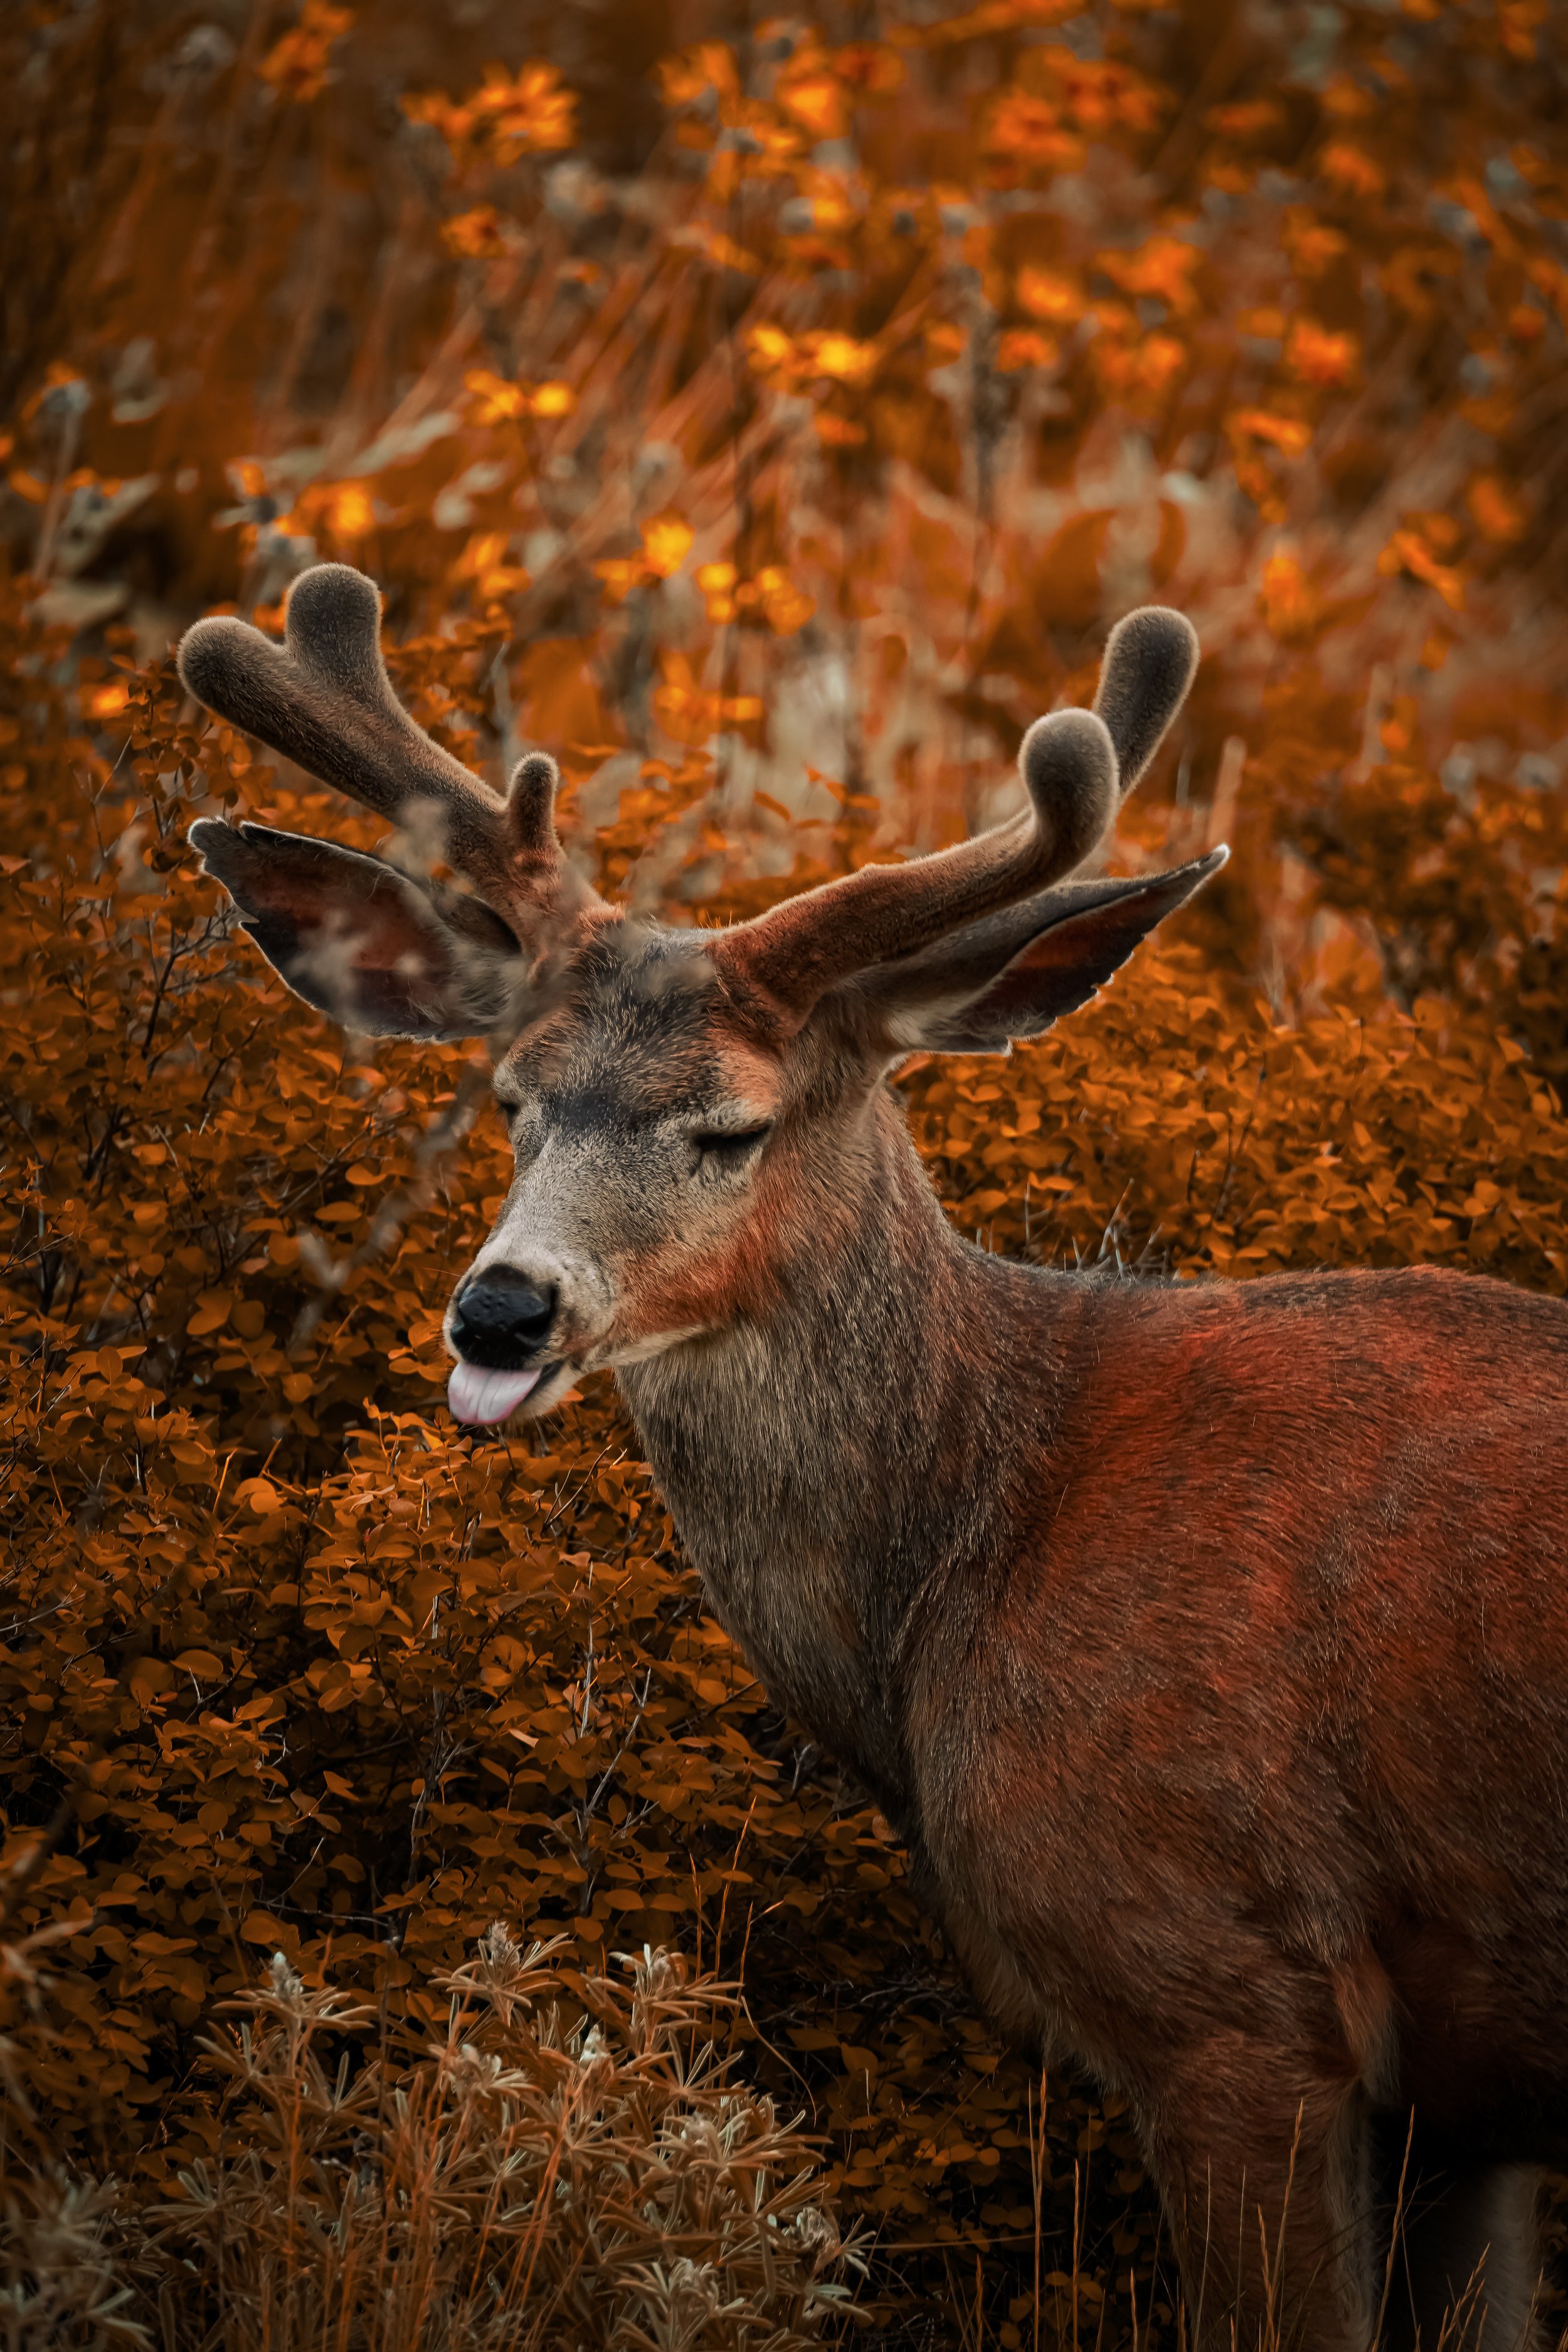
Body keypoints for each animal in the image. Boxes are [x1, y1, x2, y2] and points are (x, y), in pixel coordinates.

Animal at [176, 561, 1568, 2352]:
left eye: (731, 1124)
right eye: (510, 1102)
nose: (498, 1309)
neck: (982, 1539)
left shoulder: (1224, 1988)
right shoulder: (1462, 2102)